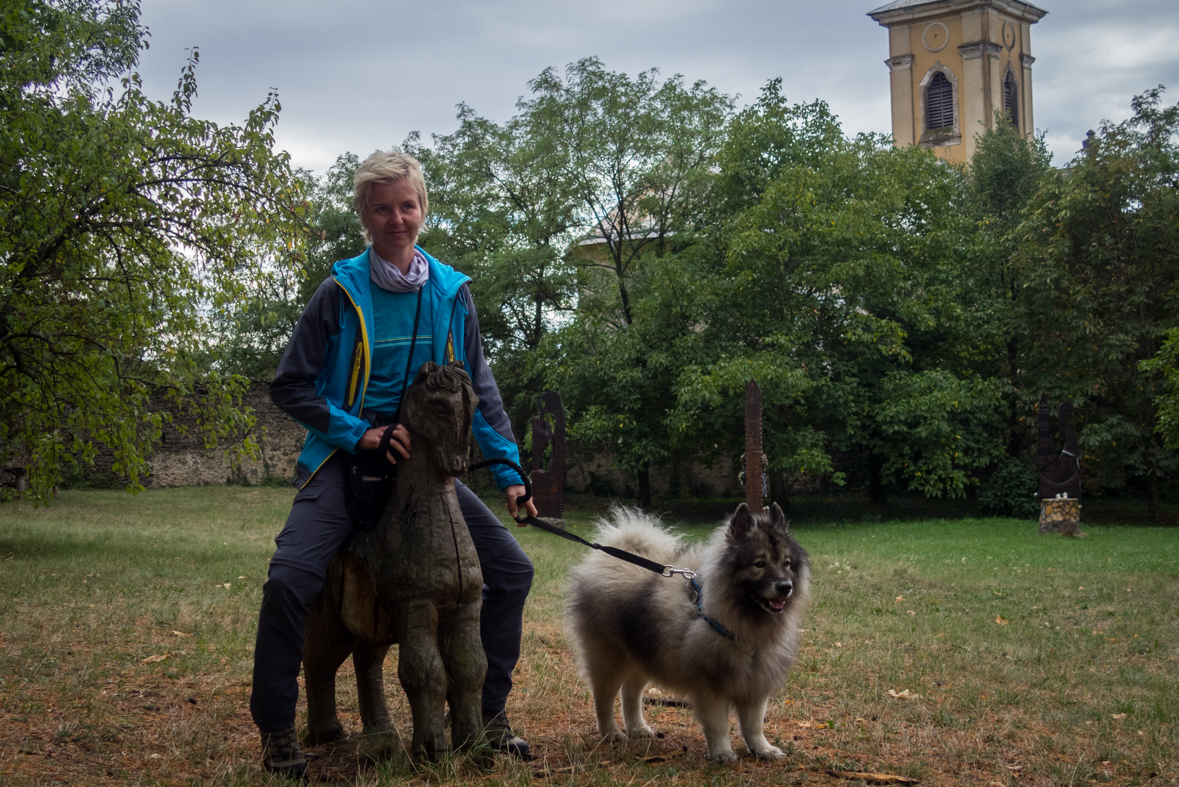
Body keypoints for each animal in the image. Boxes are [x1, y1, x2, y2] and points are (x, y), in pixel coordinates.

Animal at [563, 504, 806, 763]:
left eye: (786, 563)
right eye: (759, 563)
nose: (785, 587)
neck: (742, 622)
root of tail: (606, 559)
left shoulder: (756, 681)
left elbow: (754, 724)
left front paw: (762, 749)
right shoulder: (711, 684)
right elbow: (718, 724)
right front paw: (722, 752)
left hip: (644, 654)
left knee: (631, 693)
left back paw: (637, 727)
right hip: (609, 659)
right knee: (604, 698)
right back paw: (610, 733)